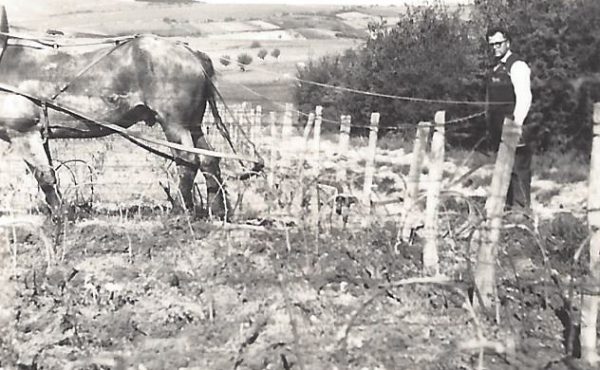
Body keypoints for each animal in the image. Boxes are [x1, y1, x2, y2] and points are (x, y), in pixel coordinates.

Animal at [0, 6, 234, 220]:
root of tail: (192, 54)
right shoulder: (39, 135)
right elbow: (49, 174)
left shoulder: (24, 132)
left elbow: (45, 177)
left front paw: (61, 217)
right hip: (193, 124)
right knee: (209, 160)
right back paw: (218, 211)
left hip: (175, 124)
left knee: (188, 161)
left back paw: (182, 212)